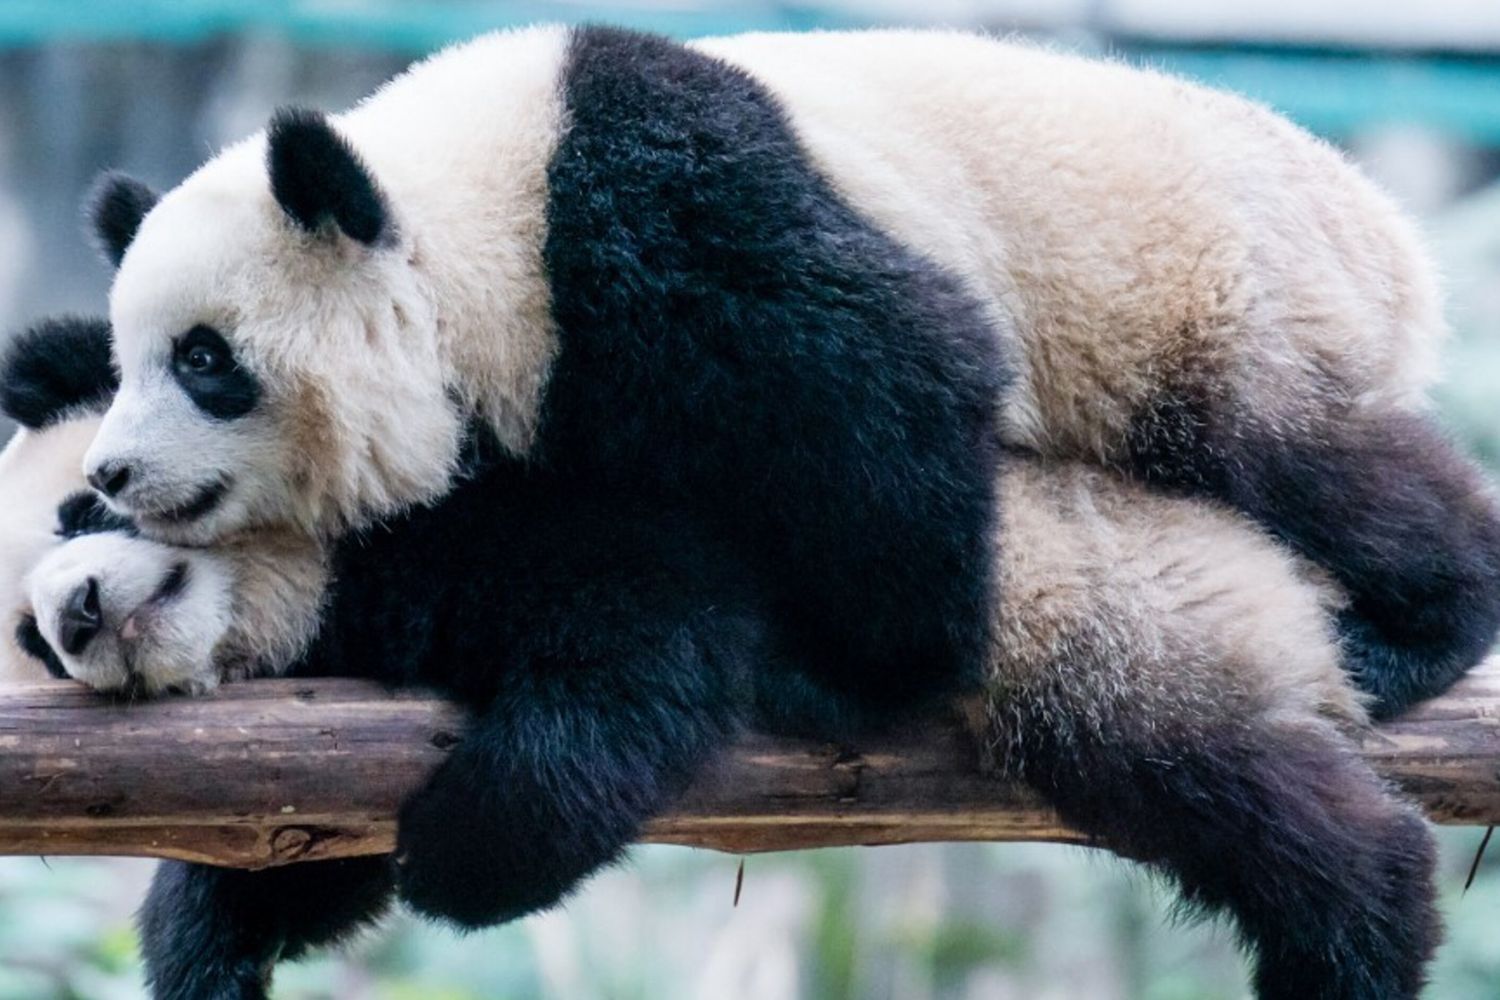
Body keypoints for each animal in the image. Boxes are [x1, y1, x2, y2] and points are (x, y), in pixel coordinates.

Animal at [5, 316, 1436, 1000]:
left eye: (82, 511)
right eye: (27, 641)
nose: (76, 617)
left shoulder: (504, 498)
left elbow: (651, 631)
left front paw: (464, 854)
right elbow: (303, 844)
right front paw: (209, 949)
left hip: (1109, 615)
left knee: (1244, 798)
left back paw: (1364, 932)